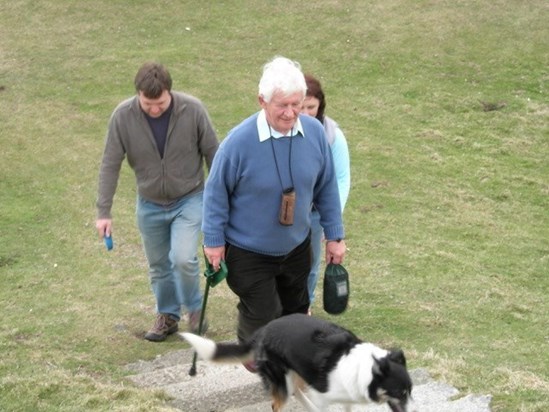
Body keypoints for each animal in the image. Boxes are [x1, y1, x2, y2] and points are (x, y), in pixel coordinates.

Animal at [182, 314, 414, 410]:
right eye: (399, 393)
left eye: (410, 392)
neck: (365, 370)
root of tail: (262, 331)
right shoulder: (324, 396)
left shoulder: (346, 397)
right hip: (282, 376)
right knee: (278, 402)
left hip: (298, 371)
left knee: (296, 391)